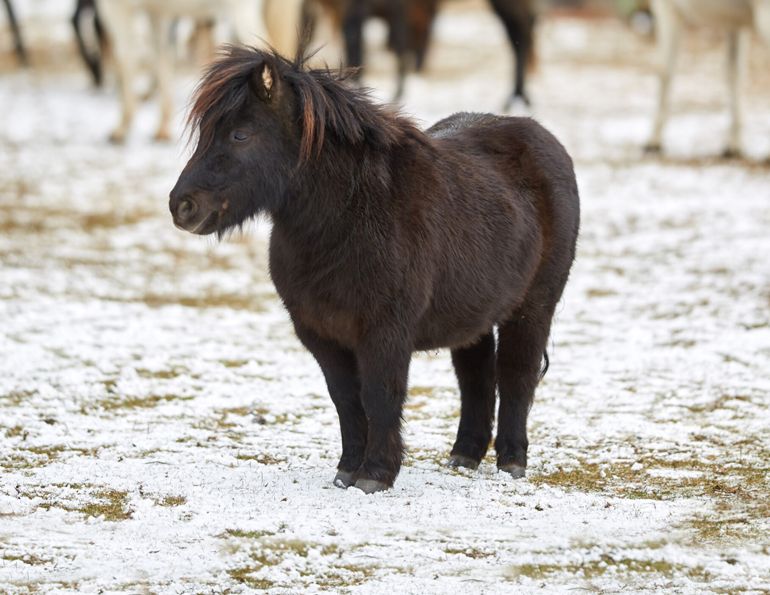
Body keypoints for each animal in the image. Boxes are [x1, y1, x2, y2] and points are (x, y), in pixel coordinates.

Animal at [169, 46, 580, 493]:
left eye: (240, 134)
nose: (181, 206)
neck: (350, 217)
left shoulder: (384, 332)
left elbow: (381, 396)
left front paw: (377, 474)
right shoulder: (320, 333)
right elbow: (346, 400)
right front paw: (347, 471)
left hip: (533, 308)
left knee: (516, 375)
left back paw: (512, 461)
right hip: (474, 315)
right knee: (476, 377)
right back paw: (465, 455)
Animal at [646, 0, 770, 157]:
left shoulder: (667, 8)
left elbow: (664, 72)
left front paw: (654, 140)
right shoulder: (734, 23)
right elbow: (734, 73)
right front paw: (733, 144)